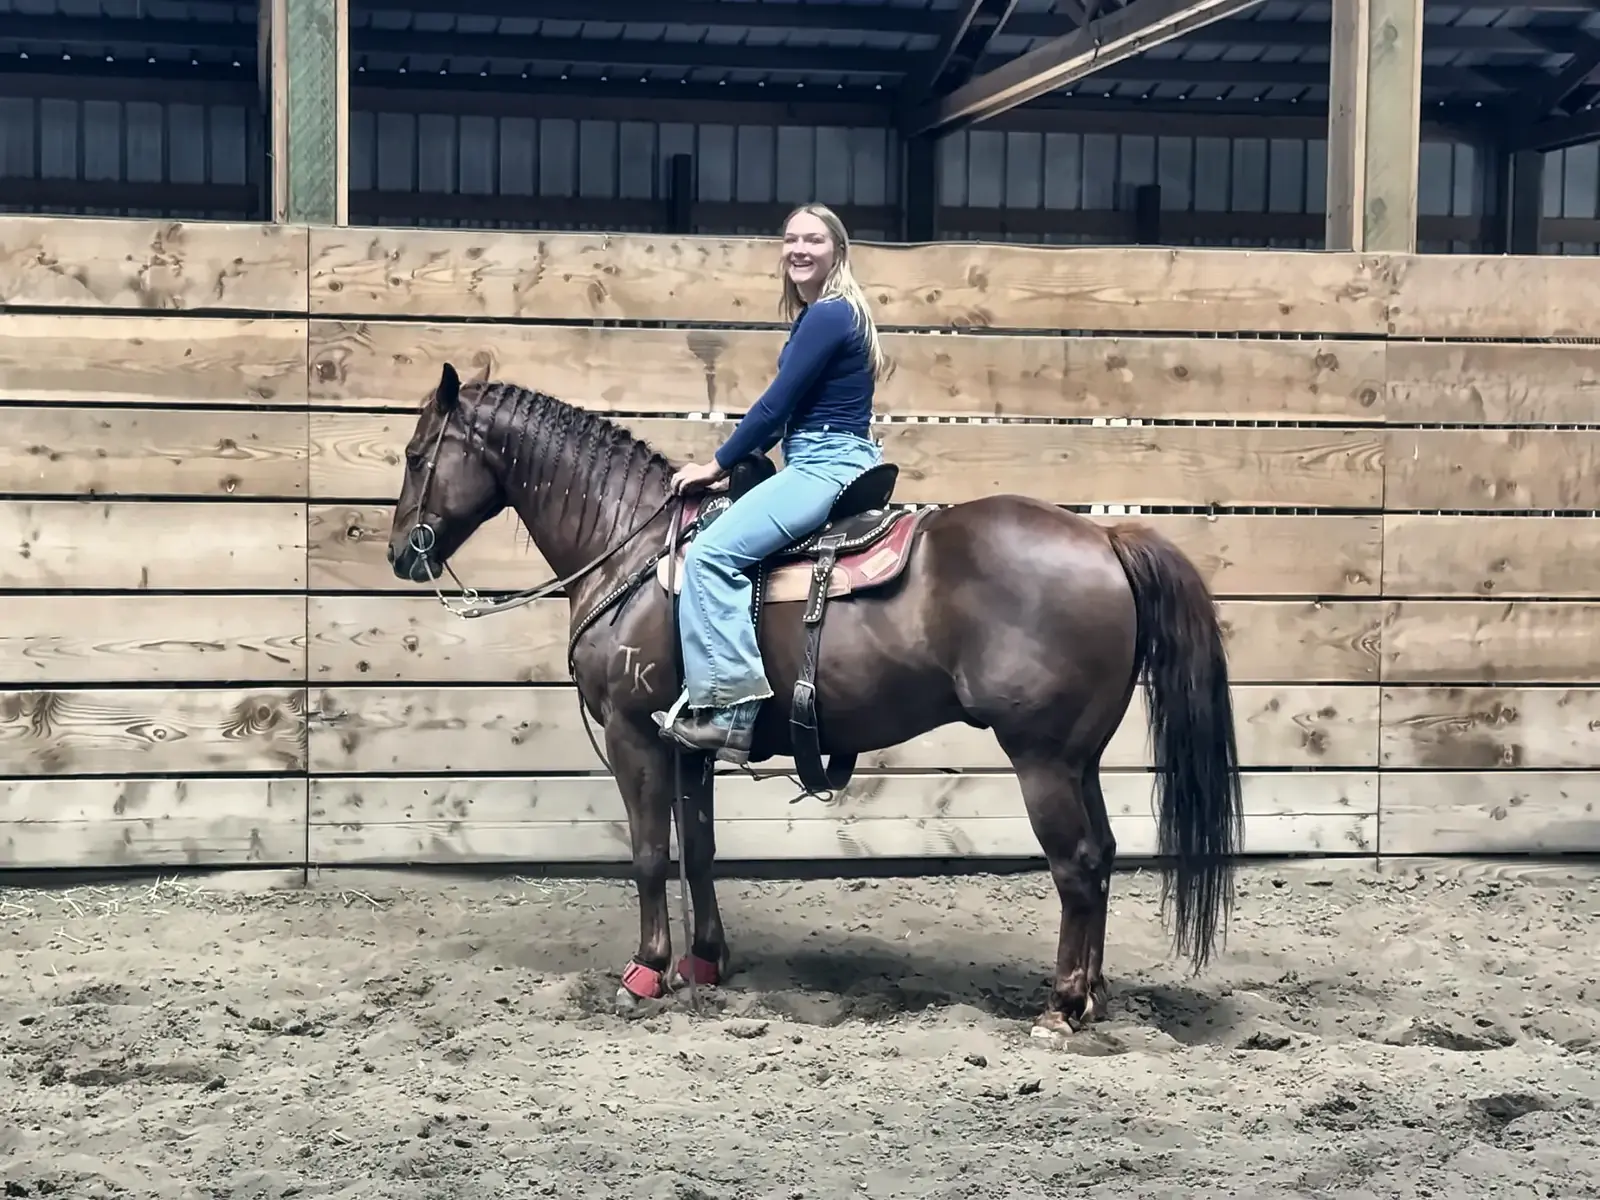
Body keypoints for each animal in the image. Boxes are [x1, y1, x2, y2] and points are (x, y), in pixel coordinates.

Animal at [385, 362, 1244, 1040]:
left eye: (417, 454)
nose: (400, 555)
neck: (631, 547)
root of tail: (1105, 540)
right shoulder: (688, 744)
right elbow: (700, 851)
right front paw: (705, 962)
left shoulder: (635, 734)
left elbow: (649, 852)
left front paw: (645, 971)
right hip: (1079, 759)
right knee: (1105, 856)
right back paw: (1092, 997)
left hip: (1043, 759)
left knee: (1077, 864)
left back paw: (1061, 1008)